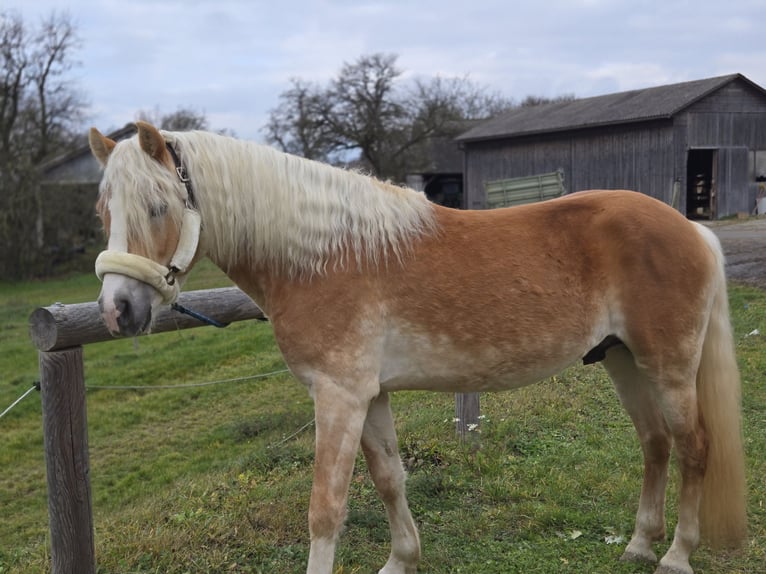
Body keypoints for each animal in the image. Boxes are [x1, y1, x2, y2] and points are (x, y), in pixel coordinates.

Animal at [87, 121, 748, 574]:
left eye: (158, 206)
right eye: (103, 211)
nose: (117, 310)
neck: (319, 256)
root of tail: (693, 230)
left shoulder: (339, 397)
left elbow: (325, 508)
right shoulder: (369, 395)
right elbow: (389, 480)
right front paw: (401, 559)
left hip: (669, 367)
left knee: (694, 448)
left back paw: (676, 556)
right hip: (622, 359)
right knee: (655, 444)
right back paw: (639, 545)